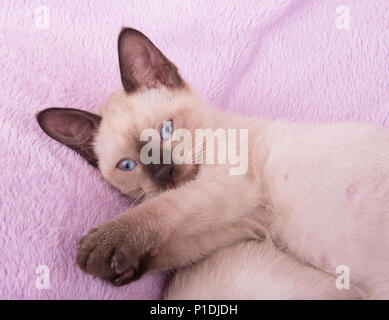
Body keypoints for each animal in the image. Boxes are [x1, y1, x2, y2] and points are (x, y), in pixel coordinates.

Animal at [36, 28, 388, 300]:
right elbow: (182, 244)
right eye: (127, 166)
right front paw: (125, 267)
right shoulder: (246, 229)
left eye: (167, 130)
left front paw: (100, 249)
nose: (164, 172)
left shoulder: (227, 187)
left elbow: (163, 209)